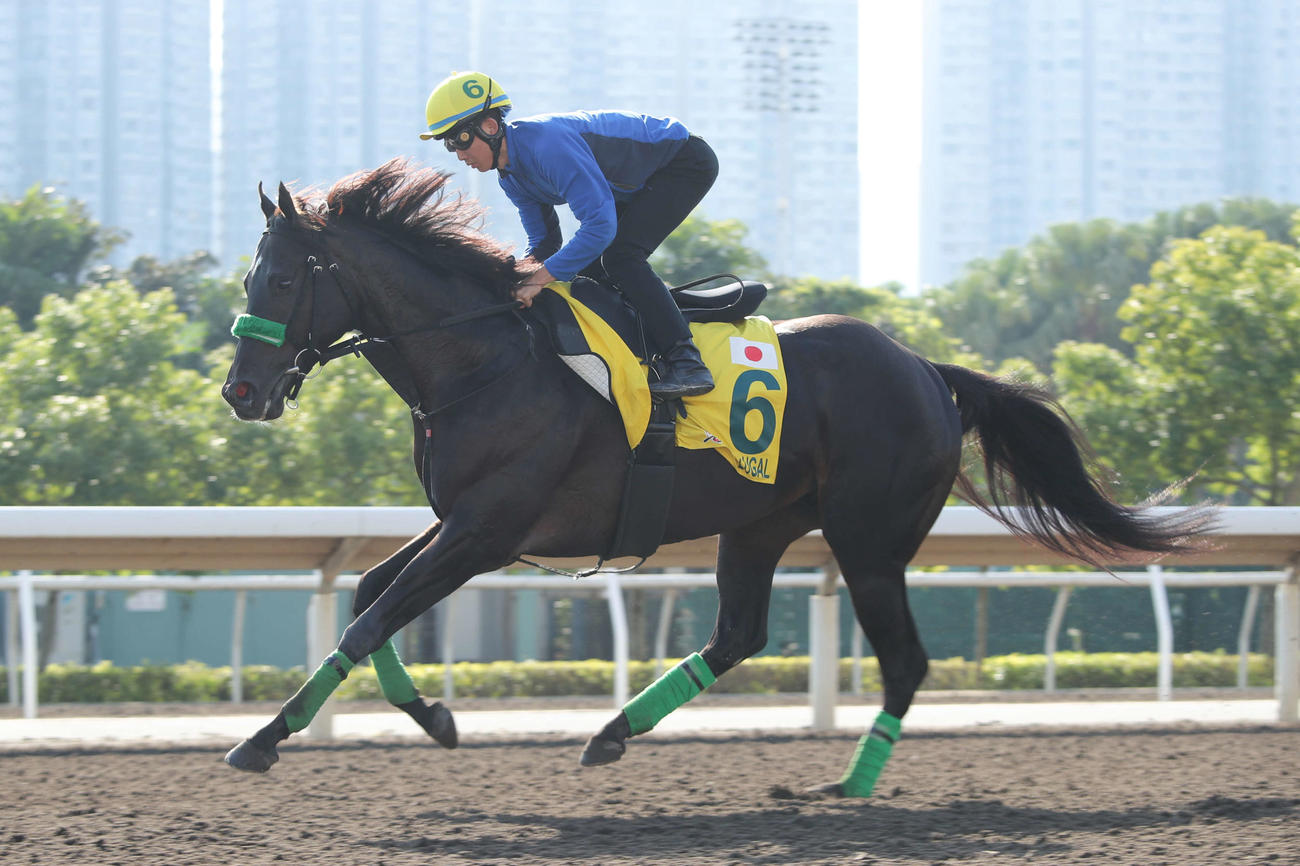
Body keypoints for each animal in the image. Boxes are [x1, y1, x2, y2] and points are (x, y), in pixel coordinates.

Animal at [220, 158, 1212, 796]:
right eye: (251, 276)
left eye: (282, 280)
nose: (240, 392)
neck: (484, 357)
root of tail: (928, 368)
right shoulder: (459, 521)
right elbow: (368, 597)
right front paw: (433, 717)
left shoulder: (489, 531)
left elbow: (373, 617)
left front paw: (263, 740)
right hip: (762, 523)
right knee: (739, 634)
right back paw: (611, 734)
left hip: (867, 537)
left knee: (903, 660)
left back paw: (848, 788)